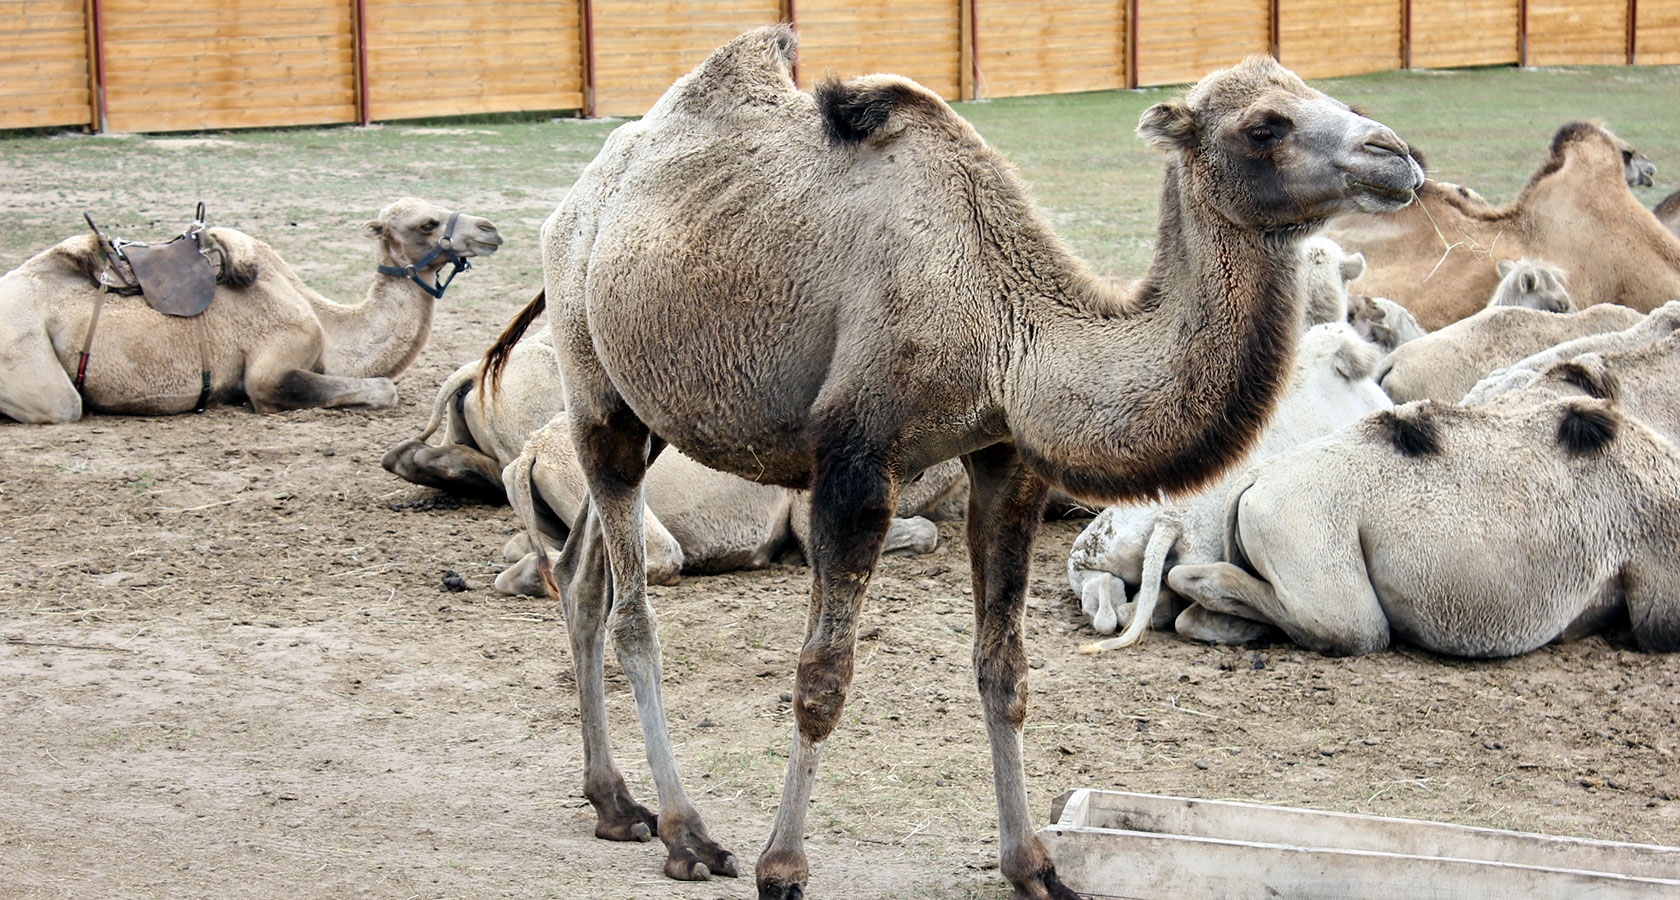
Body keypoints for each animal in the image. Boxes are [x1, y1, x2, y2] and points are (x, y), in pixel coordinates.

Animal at [0, 198, 497, 423]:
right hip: (31, 360)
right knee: (64, 404)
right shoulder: (271, 367)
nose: (490, 229)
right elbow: (381, 389)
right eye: (427, 224)